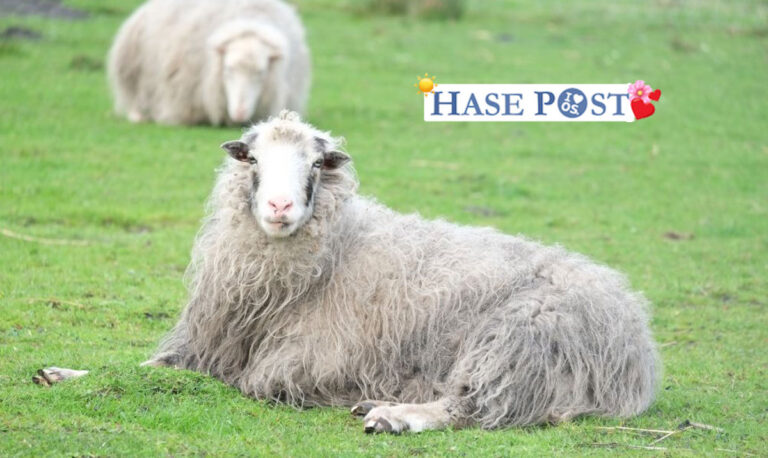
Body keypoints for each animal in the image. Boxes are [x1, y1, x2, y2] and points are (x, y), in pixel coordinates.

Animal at [138, 110, 660, 434]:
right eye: (252, 159)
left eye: (316, 163)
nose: (279, 205)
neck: (332, 253)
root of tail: (636, 332)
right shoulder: (203, 345)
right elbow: (152, 366)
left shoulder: (305, 360)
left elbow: (257, 382)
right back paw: (375, 404)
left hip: (519, 341)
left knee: (470, 406)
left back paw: (393, 416)